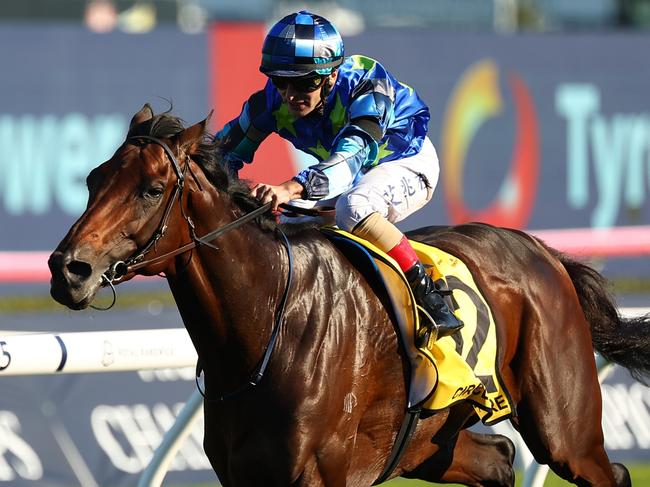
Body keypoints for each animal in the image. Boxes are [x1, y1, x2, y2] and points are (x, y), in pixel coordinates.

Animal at [49, 105, 648, 486]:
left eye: (151, 190)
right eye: (93, 179)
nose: (67, 269)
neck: (267, 325)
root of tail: (544, 252)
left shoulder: (319, 474)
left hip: (564, 431)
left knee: (603, 469)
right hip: (426, 442)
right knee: (500, 458)